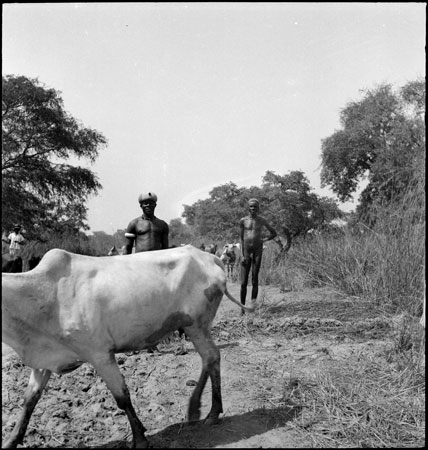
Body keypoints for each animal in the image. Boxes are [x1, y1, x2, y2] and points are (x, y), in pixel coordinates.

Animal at [1, 244, 254, 448]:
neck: (42, 294)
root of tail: (210, 257)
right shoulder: (43, 361)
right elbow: (29, 401)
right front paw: (12, 440)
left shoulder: (100, 354)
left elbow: (122, 397)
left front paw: (140, 438)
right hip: (194, 327)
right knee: (209, 359)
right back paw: (201, 410)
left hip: (196, 325)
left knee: (211, 357)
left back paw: (208, 412)